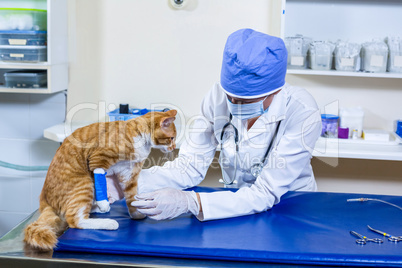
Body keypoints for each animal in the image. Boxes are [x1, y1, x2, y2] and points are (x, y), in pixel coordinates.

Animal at [24, 109, 177, 251]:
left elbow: (132, 197)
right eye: (171, 138)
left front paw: (136, 214)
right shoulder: (98, 159)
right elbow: (100, 175)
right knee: (74, 219)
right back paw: (108, 221)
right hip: (84, 183)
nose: (174, 147)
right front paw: (103, 203)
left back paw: (97, 208)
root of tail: (44, 198)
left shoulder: (128, 174)